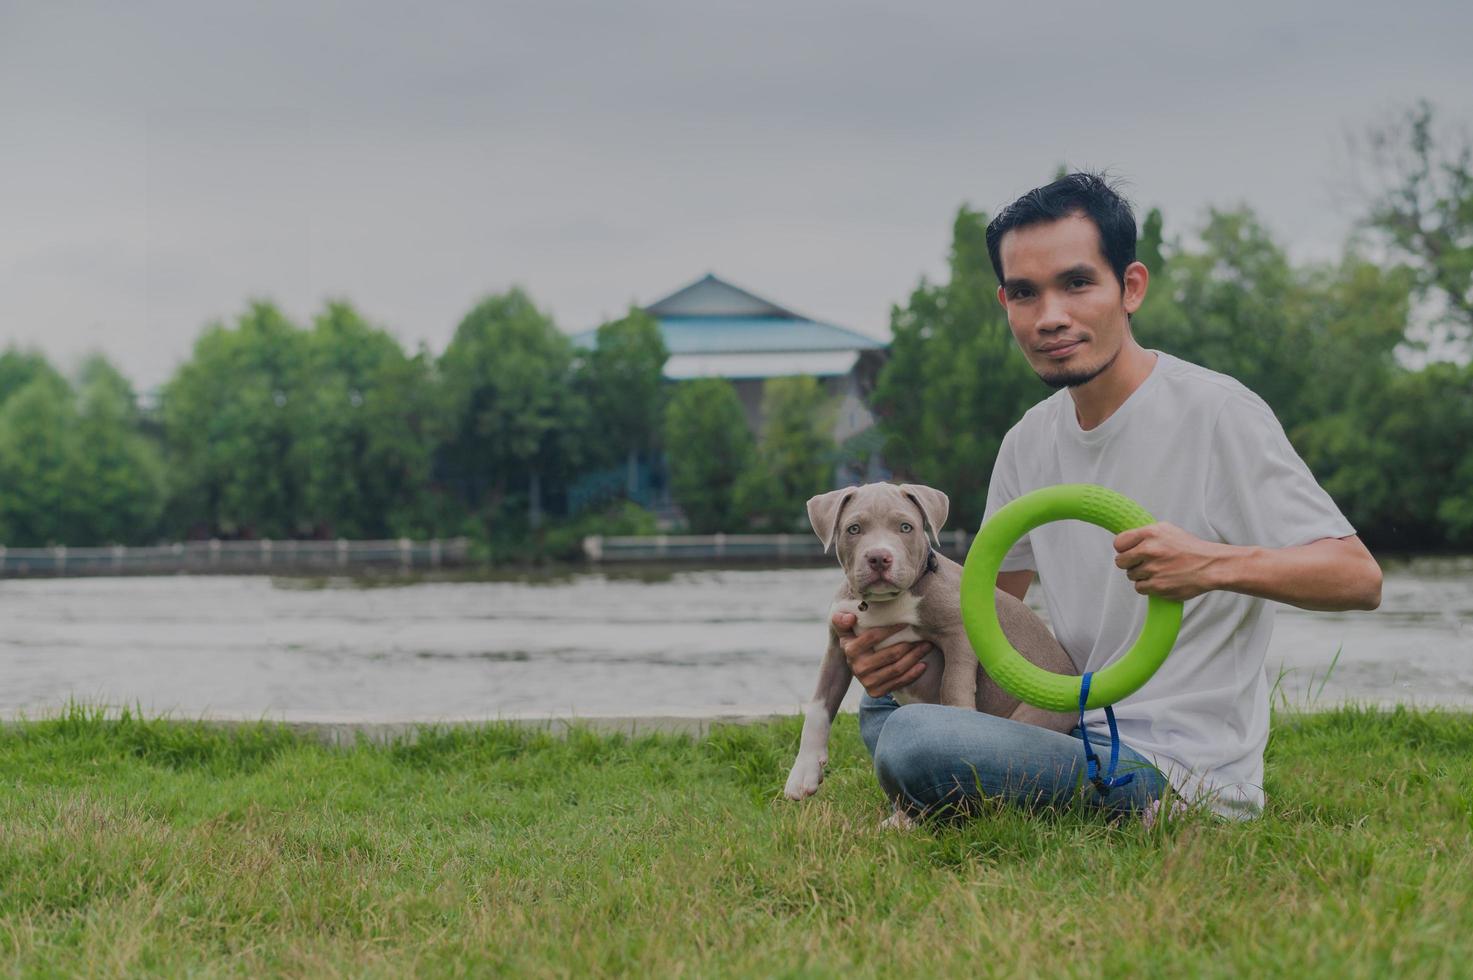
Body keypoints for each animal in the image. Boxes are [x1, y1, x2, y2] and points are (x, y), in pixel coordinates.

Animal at [777, 480, 1078, 801]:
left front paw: (960, 724)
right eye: (854, 529)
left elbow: (953, 684)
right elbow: (818, 707)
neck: (884, 604)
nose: (879, 558)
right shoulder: (838, 645)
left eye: (905, 527)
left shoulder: (960, 632)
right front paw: (803, 773)